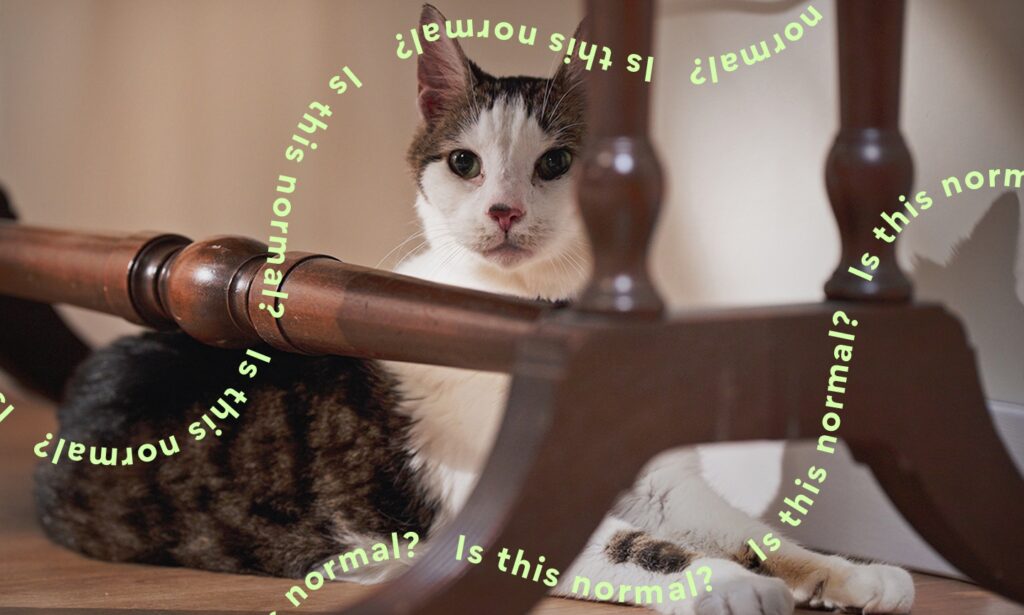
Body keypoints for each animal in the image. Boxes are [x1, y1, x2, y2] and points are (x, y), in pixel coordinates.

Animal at [34, 4, 915, 614]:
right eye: (465, 163)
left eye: (556, 162)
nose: (502, 210)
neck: (529, 309)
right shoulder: (514, 505)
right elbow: (648, 549)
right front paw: (728, 584)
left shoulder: (667, 482)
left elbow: (754, 530)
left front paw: (850, 570)